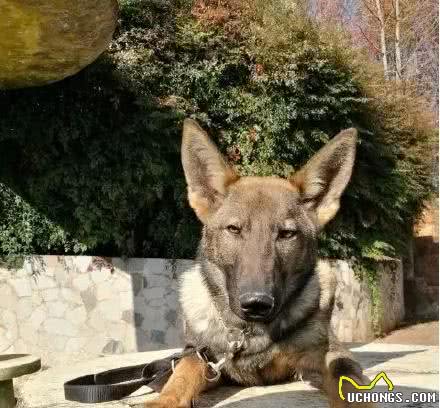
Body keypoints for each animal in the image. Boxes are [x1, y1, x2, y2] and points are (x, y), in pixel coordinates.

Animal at [145, 119, 374, 406]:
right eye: (234, 229)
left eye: (287, 234)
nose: (256, 304)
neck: (248, 334)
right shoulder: (202, 357)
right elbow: (183, 373)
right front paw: (164, 399)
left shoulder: (328, 351)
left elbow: (345, 374)